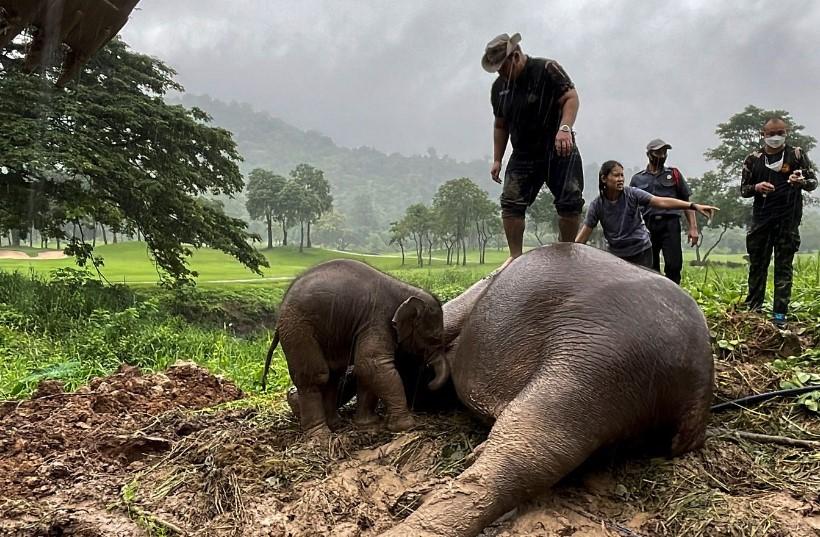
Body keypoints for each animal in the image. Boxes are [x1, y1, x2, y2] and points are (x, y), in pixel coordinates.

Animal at [262, 258, 448, 438]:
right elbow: (371, 364)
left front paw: (369, 425)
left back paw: (335, 424)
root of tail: (279, 315)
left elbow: (365, 370)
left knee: (333, 375)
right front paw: (406, 426)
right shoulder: (378, 319)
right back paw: (320, 436)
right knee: (316, 376)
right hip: (298, 329)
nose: (429, 383)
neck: (405, 289)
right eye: (434, 339)